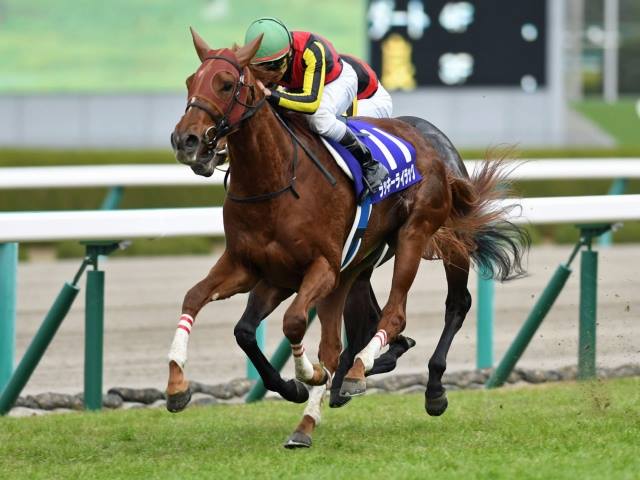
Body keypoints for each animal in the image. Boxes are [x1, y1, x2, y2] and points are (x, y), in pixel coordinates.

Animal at [167, 29, 529, 448]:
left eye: (226, 84)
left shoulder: (321, 267)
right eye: (190, 81)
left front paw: (307, 377)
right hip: (359, 266)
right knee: (359, 327)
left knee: (426, 308)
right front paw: (178, 387)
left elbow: (294, 323)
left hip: (423, 235)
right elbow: (209, 307)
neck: (275, 182)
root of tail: (434, 145)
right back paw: (355, 377)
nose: (186, 140)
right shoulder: (255, 268)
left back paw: (417, 385)